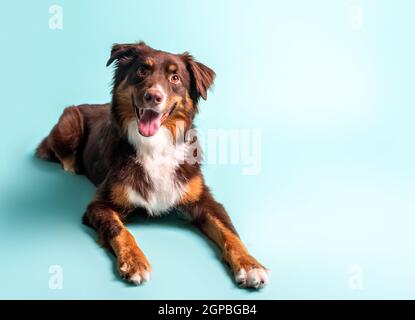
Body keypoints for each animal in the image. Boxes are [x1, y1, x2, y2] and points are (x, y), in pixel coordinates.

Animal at [36, 41, 270, 288]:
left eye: (175, 78)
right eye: (141, 70)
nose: (153, 96)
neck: (155, 146)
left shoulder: (205, 200)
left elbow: (229, 232)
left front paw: (250, 264)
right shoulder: (99, 205)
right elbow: (119, 230)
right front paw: (134, 261)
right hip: (70, 120)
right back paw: (72, 165)